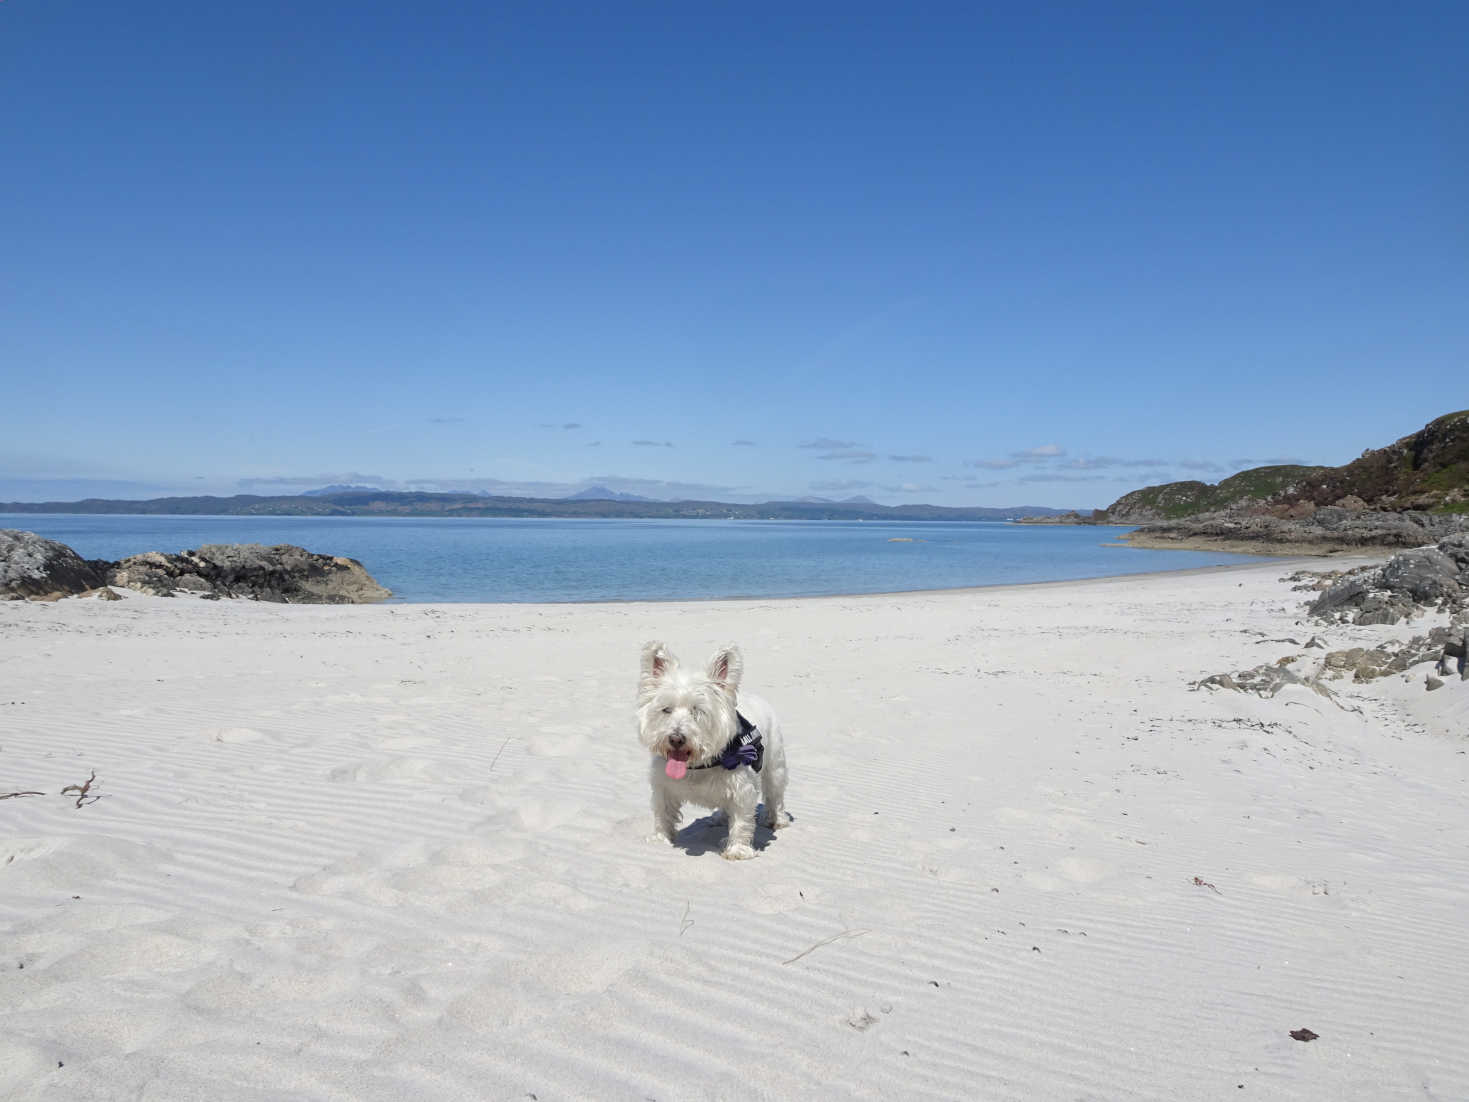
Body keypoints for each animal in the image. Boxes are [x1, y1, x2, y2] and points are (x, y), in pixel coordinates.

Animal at [634, 637, 787, 863]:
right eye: (666, 709)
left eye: (697, 711)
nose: (676, 739)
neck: (697, 765)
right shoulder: (663, 787)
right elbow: (663, 813)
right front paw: (660, 839)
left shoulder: (742, 791)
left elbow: (742, 821)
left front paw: (738, 850)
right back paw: (719, 817)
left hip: (775, 766)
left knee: (775, 795)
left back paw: (777, 819)